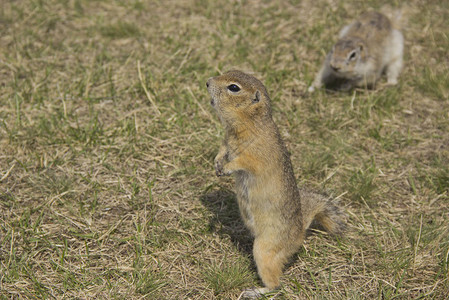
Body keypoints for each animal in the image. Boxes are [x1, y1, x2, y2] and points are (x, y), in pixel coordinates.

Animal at [205, 71, 344, 298]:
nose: (207, 82)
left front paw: (226, 168)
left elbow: (243, 162)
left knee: (276, 285)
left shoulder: (256, 156)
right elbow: (222, 148)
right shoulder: (226, 141)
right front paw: (216, 163)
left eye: (234, 88)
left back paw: (255, 291)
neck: (248, 124)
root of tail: (300, 233)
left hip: (264, 250)